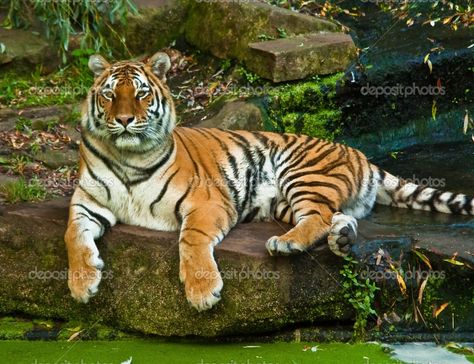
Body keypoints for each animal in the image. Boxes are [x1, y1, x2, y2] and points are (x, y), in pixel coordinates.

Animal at [65, 52, 474, 312]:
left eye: (141, 93)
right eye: (109, 94)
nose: (123, 120)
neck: (128, 157)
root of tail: (360, 154)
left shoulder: (208, 201)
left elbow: (191, 240)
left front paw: (202, 292)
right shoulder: (86, 201)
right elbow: (73, 235)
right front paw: (82, 284)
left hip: (302, 172)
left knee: (318, 217)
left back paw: (287, 244)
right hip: (284, 201)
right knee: (334, 217)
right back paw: (342, 240)